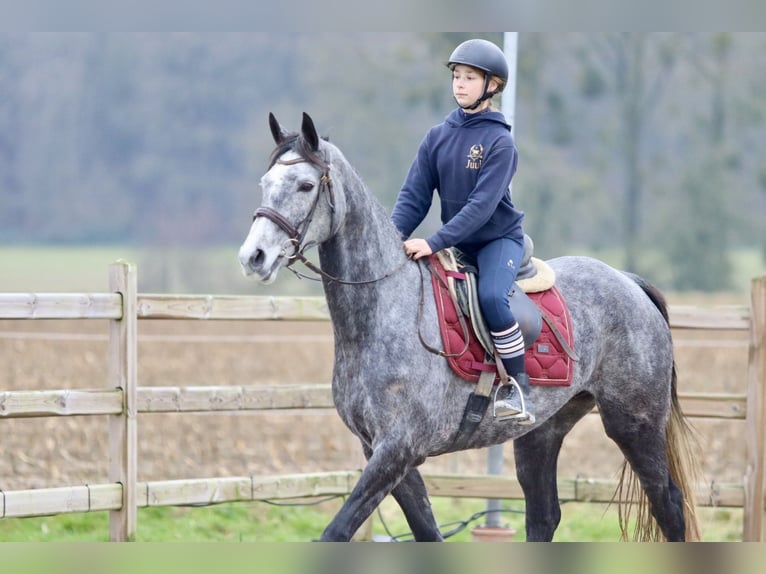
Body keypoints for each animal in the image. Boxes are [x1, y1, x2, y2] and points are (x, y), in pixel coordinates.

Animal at [238, 112, 704, 544]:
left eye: (305, 186)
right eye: (264, 182)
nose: (253, 257)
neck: (383, 310)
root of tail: (628, 280)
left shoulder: (397, 448)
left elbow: (336, 532)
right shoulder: (383, 451)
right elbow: (427, 532)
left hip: (634, 425)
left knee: (669, 505)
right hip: (541, 432)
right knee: (544, 516)